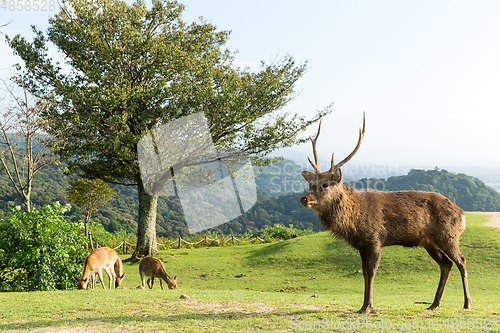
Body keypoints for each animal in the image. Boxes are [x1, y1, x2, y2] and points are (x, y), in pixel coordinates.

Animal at [300, 113, 472, 312]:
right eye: (310, 183)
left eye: (325, 184)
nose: (304, 199)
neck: (355, 220)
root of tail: (461, 214)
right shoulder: (362, 245)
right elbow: (364, 273)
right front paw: (363, 305)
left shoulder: (375, 239)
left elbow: (372, 272)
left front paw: (368, 307)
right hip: (428, 241)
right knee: (446, 264)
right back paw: (434, 304)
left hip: (448, 235)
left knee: (461, 260)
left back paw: (467, 303)